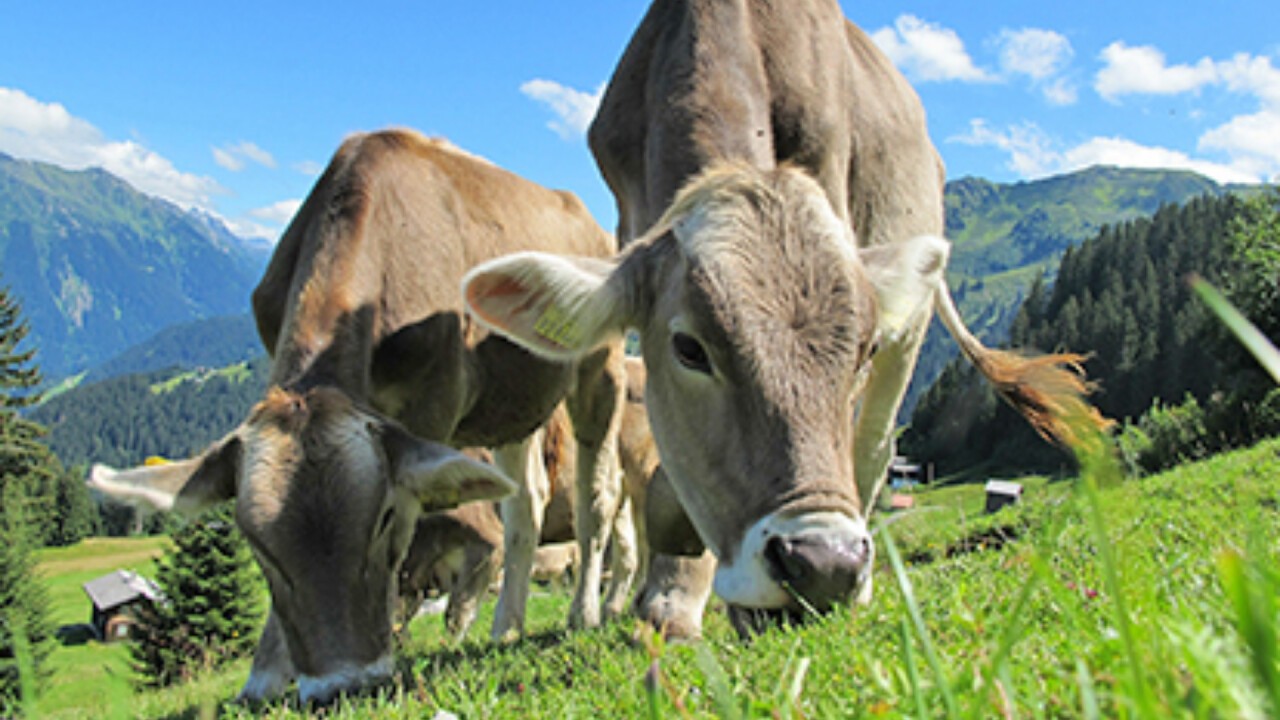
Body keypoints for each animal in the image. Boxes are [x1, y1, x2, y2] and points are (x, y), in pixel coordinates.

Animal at [87, 128, 627, 702]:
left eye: (384, 518)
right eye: (255, 542)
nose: (342, 685)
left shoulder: (431, 408)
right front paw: (265, 676)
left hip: (600, 367)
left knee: (598, 495)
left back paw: (584, 613)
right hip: (514, 403)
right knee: (526, 504)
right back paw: (507, 626)